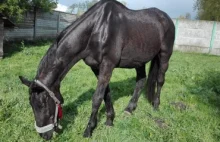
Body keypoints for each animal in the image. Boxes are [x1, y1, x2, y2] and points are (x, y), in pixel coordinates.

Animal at [18, 0, 174, 140]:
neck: (97, 29)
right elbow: (106, 94)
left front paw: (89, 130)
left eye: (43, 104)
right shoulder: (96, 67)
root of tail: (167, 18)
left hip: (164, 56)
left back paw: (155, 106)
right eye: (31, 104)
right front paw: (110, 120)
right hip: (139, 61)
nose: (44, 135)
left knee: (160, 80)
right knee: (141, 81)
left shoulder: (107, 65)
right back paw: (129, 109)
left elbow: (97, 97)